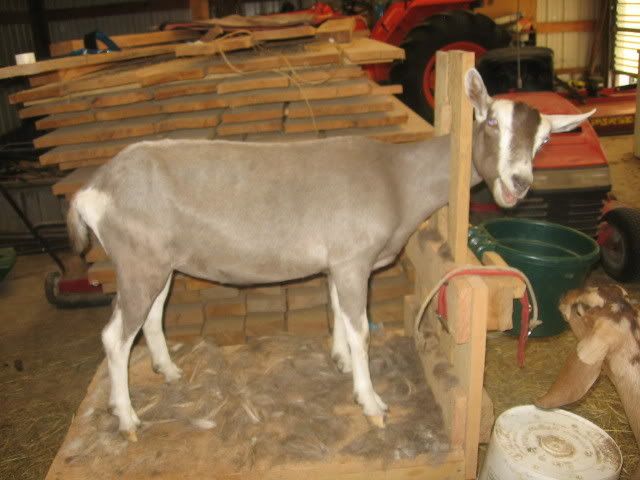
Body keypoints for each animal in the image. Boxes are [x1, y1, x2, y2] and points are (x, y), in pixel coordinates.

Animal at [67, 69, 593, 438]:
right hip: (137, 263)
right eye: (490, 122)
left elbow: (340, 312)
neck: (397, 177)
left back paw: (171, 372)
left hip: (158, 263)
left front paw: (339, 360)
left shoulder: (340, 263)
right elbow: (360, 328)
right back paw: (128, 420)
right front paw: (371, 402)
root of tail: (93, 190)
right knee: (115, 336)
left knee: (152, 317)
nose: (518, 183)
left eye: (545, 139)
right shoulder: (353, 260)